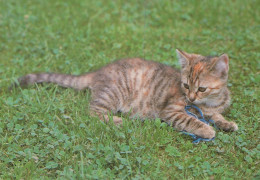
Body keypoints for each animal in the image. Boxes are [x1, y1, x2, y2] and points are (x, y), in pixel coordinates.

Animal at [12, 49, 238, 139]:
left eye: (201, 89)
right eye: (185, 85)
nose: (190, 98)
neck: (210, 103)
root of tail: (99, 72)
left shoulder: (212, 108)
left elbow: (217, 116)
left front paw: (226, 123)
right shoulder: (171, 111)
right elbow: (191, 120)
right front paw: (206, 130)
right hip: (113, 93)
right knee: (93, 112)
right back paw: (119, 121)